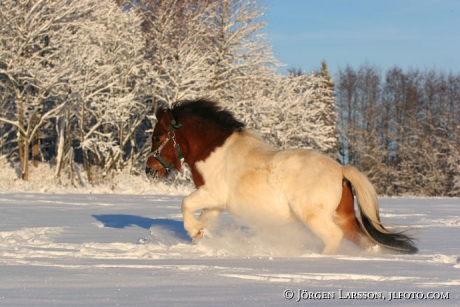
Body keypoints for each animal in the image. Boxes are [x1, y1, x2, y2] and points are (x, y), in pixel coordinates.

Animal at [146, 99, 418, 255]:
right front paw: (200, 236)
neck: (214, 153)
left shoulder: (211, 194)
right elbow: (204, 220)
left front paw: (195, 231)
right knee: (364, 241)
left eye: (157, 137)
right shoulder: (215, 204)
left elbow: (185, 205)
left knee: (333, 238)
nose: (150, 169)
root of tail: (341, 170)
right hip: (345, 219)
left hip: (316, 218)